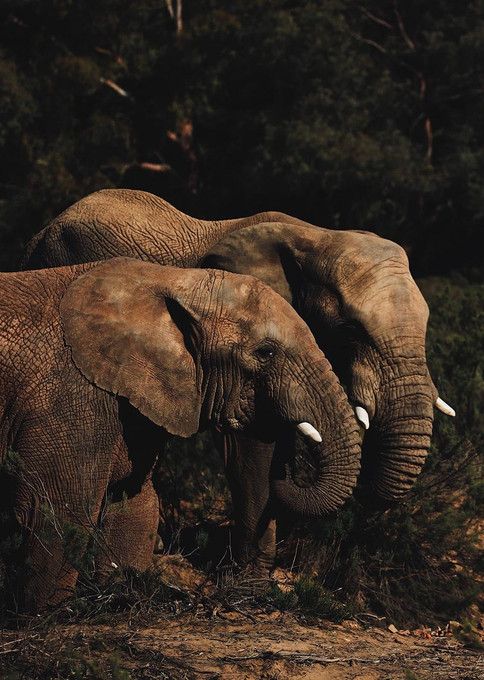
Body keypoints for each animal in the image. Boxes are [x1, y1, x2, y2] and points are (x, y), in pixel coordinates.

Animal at [0, 257, 361, 610]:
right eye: (265, 353)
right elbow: (58, 510)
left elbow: (136, 505)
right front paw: (43, 614)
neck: (172, 280)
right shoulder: (69, 395)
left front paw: (117, 595)